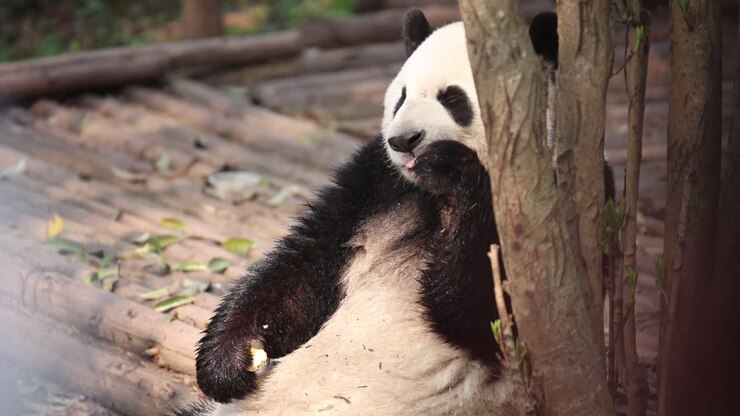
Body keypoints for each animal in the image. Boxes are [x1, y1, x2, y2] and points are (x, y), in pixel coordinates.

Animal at [175, 9, 614, 416]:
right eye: (401, 96)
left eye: (453, 99)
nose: (404, 140)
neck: (433, 194)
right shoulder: (378, 182)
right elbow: (308, 261)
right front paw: (229, 361)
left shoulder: (554, 202)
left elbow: (497, 316)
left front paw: (455, 171)